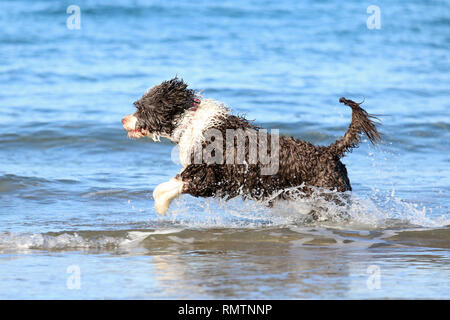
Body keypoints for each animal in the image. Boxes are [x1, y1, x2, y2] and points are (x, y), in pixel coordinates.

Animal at [120, 78, 380, 215]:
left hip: (327, 195)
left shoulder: (208, 176)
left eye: (141, 108)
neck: (190, 121)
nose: (123, 120)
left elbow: (167, 187)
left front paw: (161, 205)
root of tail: (328, 151)